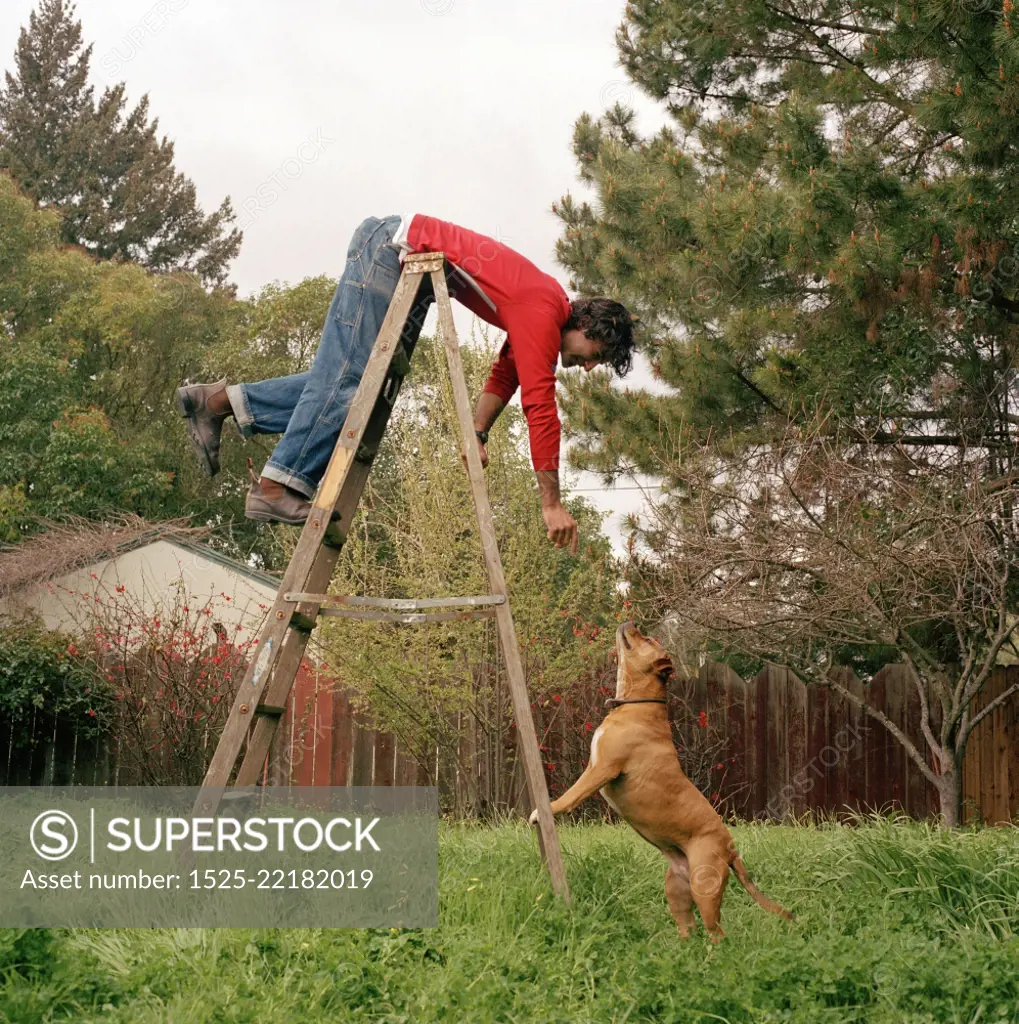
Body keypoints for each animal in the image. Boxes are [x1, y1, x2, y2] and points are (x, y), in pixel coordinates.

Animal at [532, 618, 798, 937]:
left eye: (647, 638)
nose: (630, 621)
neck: (635, 703)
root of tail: (731, 849)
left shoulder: (603, 768)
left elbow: (572, 795)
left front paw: (545, 810)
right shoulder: (595, 765)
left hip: (705, 890)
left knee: (717, 934)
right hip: (677, 889)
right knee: (688, 928)